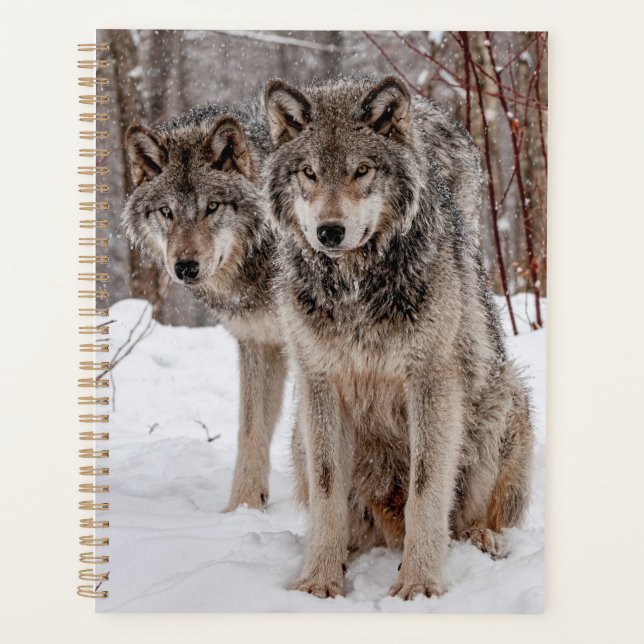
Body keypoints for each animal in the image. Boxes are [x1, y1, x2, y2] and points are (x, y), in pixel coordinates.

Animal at [122, 103, 285, 511]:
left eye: (211, 207)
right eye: (166, 212)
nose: (185, 267)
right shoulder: (258, 341)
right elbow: (251, 431)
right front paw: (243, 509)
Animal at [264, 76, 533, 600]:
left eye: (362, 170)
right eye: (309, 173)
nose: (329, 231)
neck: (355, 289)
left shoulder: (430, 381)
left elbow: (427, 489)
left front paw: (420, 583)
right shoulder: (320, 383)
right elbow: (327, 491)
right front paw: (319, 580)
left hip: (504, 398)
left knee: (473, 518)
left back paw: (483, 538)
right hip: (300, 435)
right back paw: (349, 552)